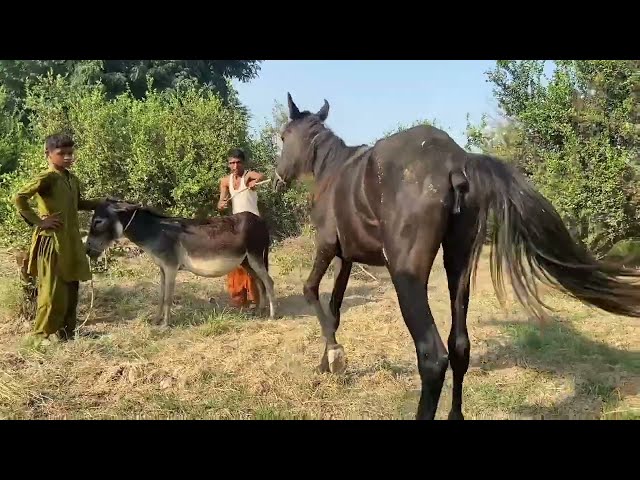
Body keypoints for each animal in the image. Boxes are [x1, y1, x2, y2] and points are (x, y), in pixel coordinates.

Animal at [84, 199, 276, 326]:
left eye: (98, 222)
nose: (87, 250)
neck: (156, 231)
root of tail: (260, 220)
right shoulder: (162, 268)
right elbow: (161, 296)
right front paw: (156, 320)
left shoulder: (171, 267)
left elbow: (168, 298)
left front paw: (165, 326)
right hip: (246, 261)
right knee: (259, 282)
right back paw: (260, 310)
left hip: (255, 255)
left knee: (268, 282)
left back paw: (272, 315)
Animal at [272, 91, 640, 420]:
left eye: (283, 136)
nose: (277, 179)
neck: (331, 173)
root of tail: (455, 161)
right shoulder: (347, 257)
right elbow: (334, 310)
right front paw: (328, 361)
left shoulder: (326, 247)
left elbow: (311, 291)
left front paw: (333, 356)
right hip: (458, 265)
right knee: (460, 345)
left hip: (407, 276)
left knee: (434, 357)